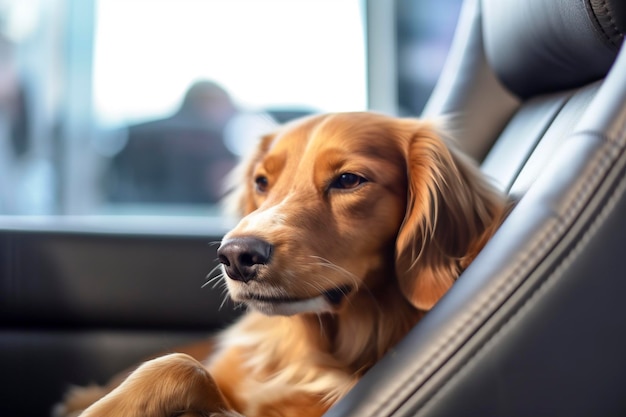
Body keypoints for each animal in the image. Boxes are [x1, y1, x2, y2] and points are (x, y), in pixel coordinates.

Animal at [56, 110, 508, 416]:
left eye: (348, 180)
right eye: (261, 182)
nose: (236, 256)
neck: (307, 349)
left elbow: (182, 368)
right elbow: (176, 365)